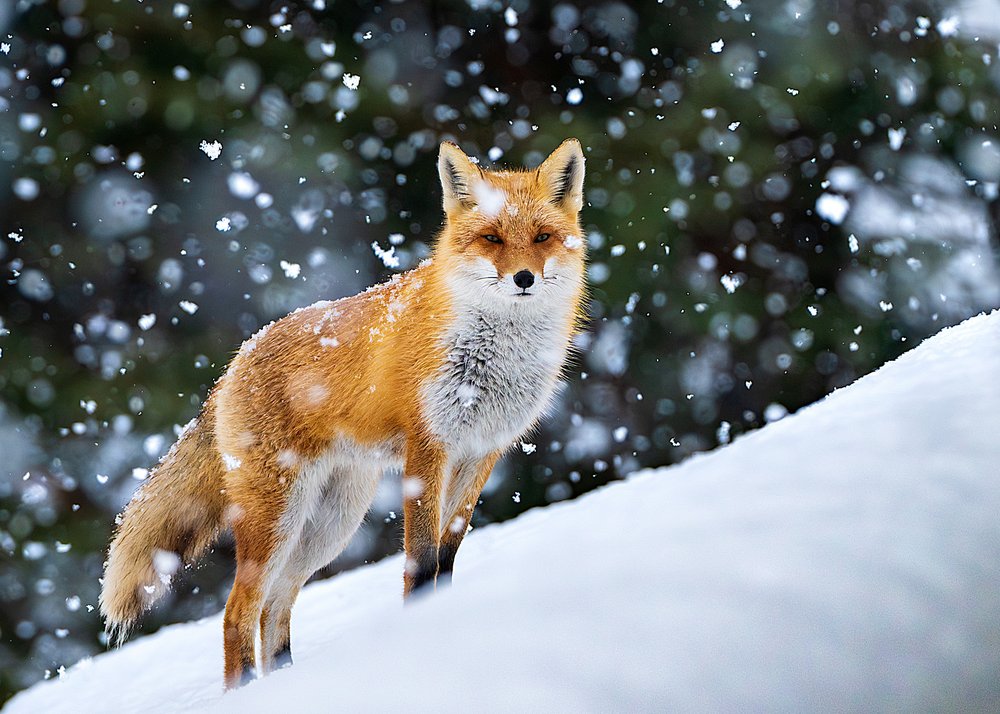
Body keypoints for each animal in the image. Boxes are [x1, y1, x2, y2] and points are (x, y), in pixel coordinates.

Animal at [99, 138, 588, 689]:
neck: (495, 357)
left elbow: (447, 556)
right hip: (279, 518)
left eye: (543, 237)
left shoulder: (483, 451)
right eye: (492, 238)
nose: (524, 278)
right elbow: (421, 564)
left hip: (330, 524)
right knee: (237, 611)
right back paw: (246, 691)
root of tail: (234, 362)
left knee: (274, 609)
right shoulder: (429, 450)